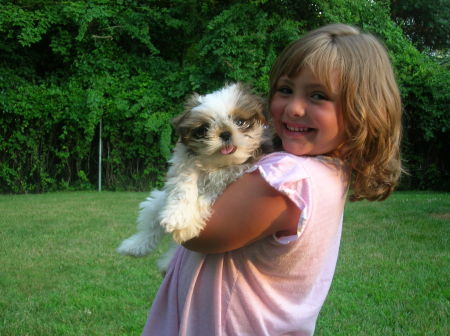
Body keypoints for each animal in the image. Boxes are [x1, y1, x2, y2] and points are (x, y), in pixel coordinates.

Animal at [118, 83, 268, 270]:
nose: (225, 133)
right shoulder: (183, 166)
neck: (216, 165)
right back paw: (133, 247)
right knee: (151, 223)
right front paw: (176, 217)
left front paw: (185, 227)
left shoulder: (229, 177)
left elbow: (207, 196)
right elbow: (183, 188)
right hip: (157, 202)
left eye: (240, 122)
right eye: (204, 129)